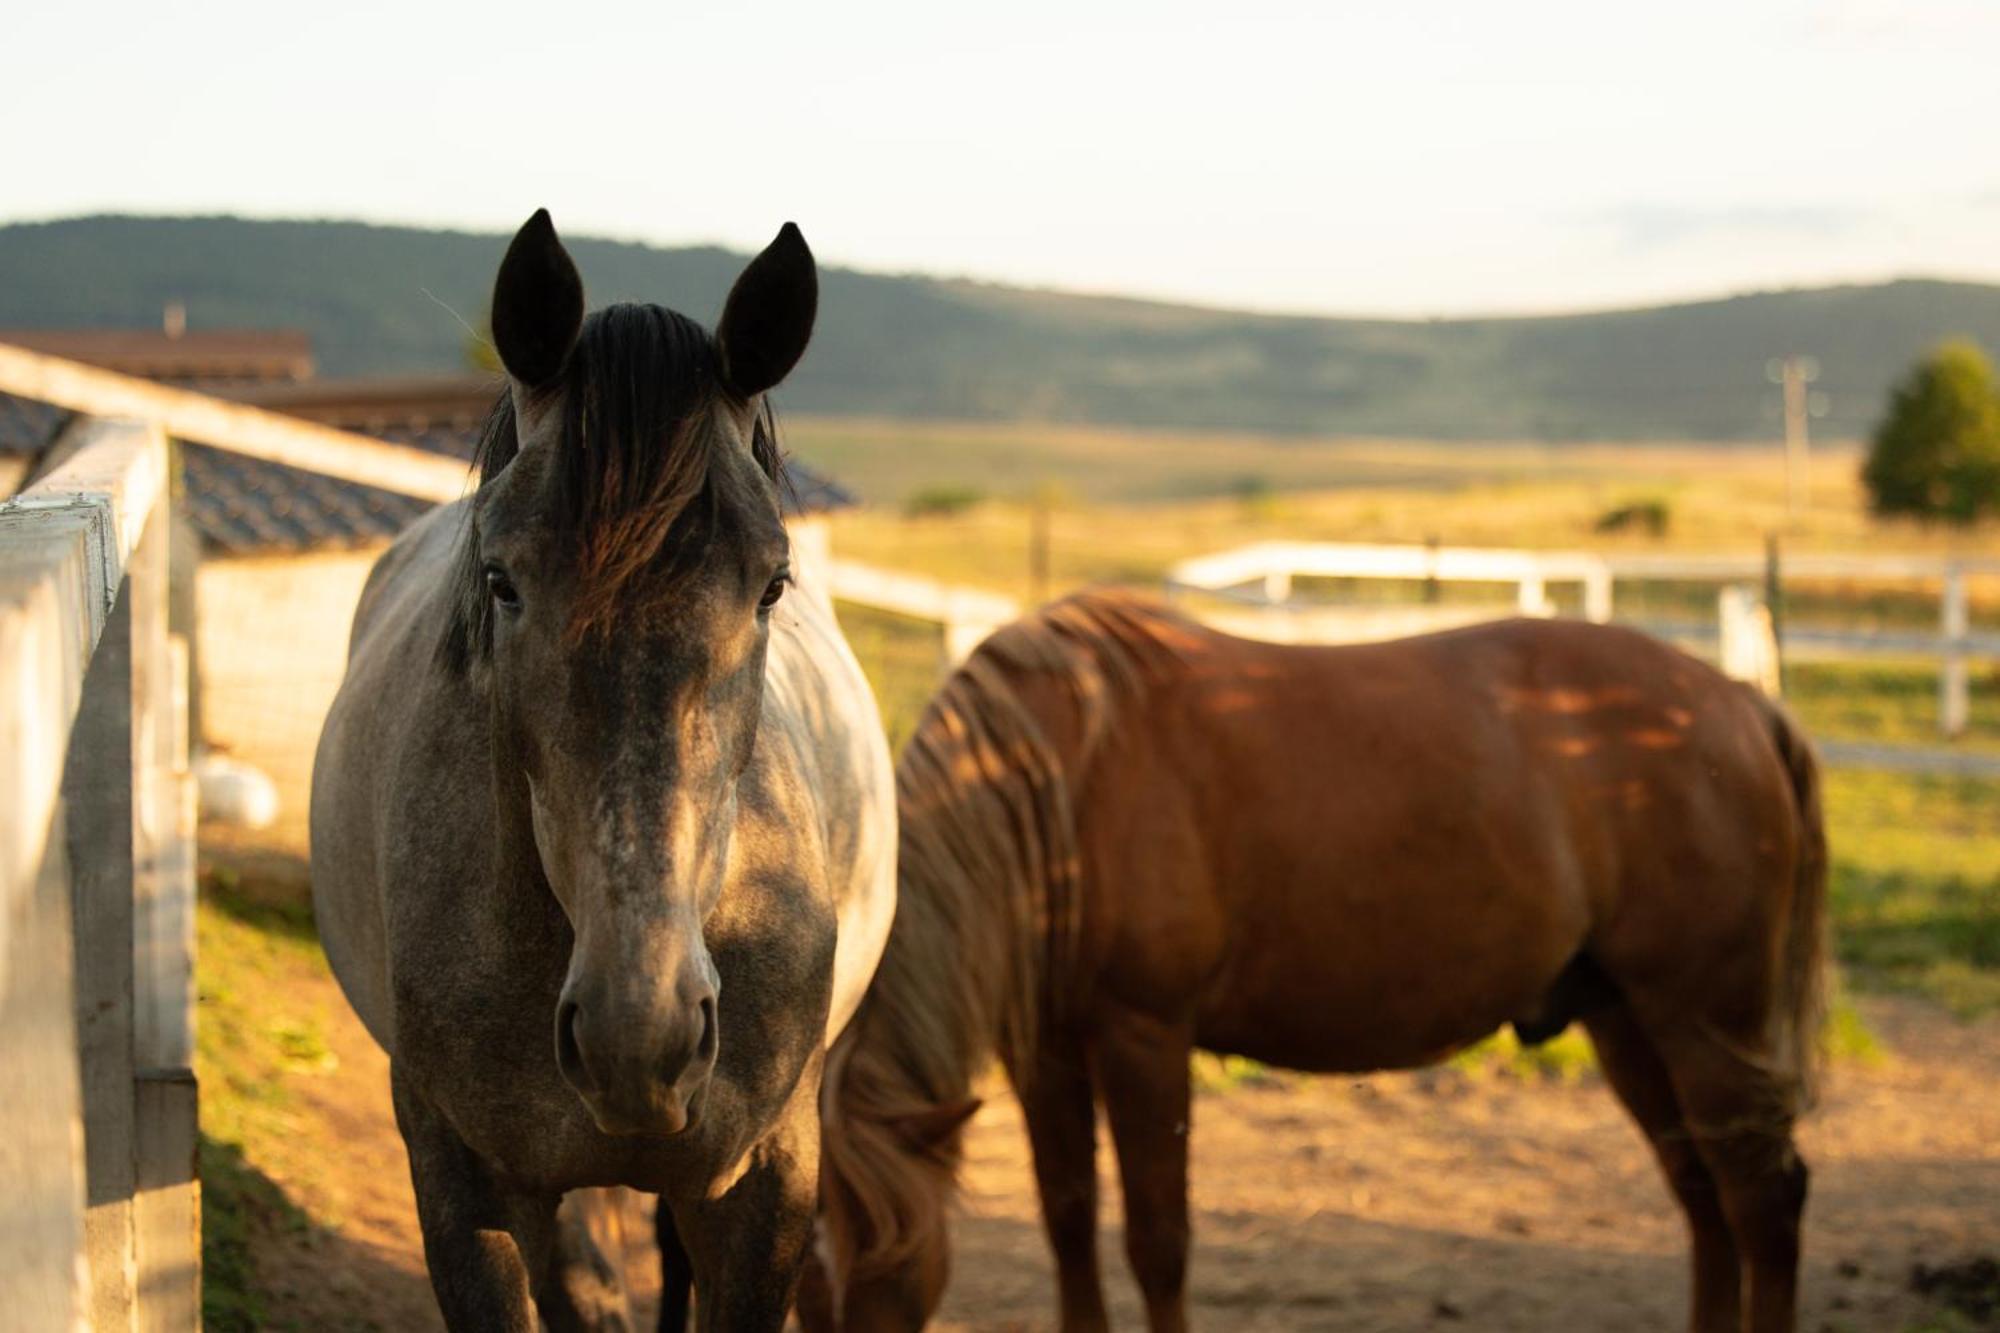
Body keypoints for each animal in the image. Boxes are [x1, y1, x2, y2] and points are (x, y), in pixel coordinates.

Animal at [804, 588, 1824, 1328]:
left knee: (1761, 1201)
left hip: (1702, 1024)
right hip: (1628, 1022)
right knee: (1704, 1199)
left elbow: (1157, 1241)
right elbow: (1068, 1221)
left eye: (893, 1256)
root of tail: (1742, 704)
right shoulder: (1048, 1050)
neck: (1056, 782)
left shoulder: (1144, 1037)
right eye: (815, 1267)